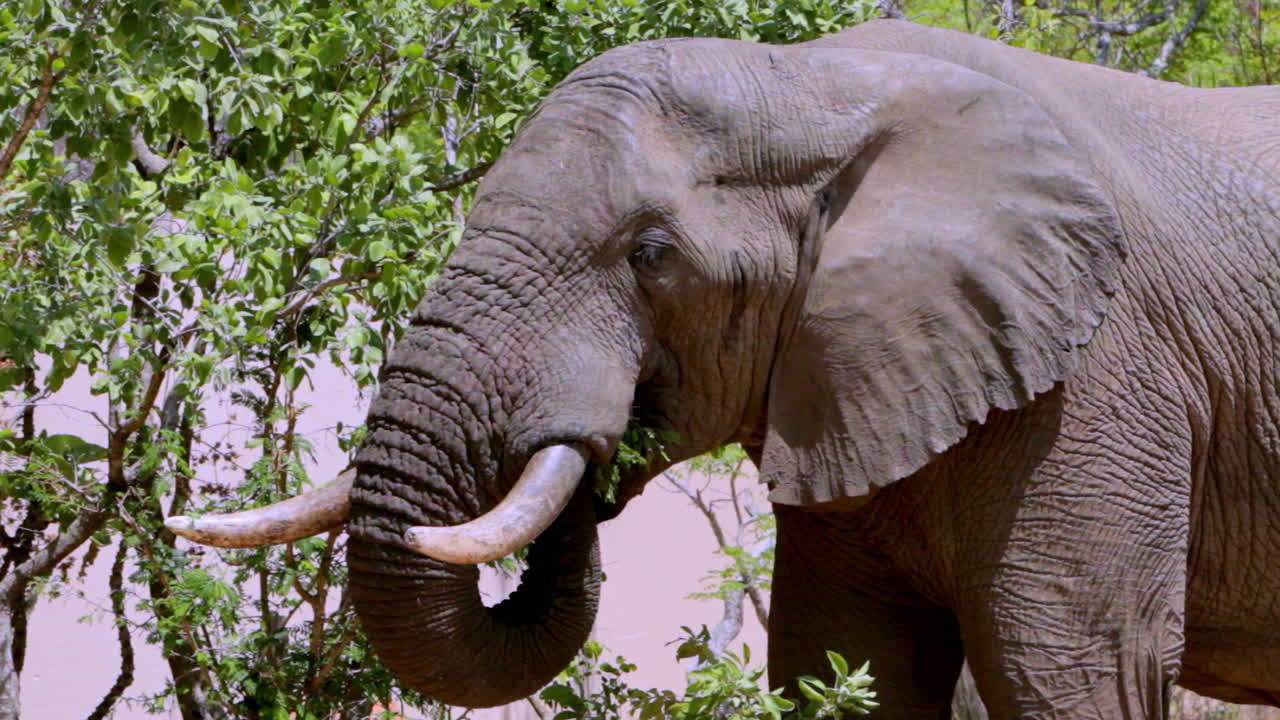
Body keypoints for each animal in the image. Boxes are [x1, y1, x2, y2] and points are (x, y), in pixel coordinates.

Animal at [165, 19, 1280, 719]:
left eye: (651, 255)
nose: (594, 447)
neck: (811, 85)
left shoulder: (1097, 379)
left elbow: (1067, 672)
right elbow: (845, 667)